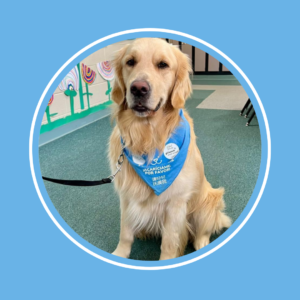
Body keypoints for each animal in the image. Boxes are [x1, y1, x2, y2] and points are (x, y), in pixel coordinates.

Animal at [109, 38, 231, 260]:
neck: (147, 138)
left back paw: (202, 243)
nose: (138, 88)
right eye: (130, 62)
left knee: (203, 230)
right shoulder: (127, 196)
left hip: (208, 201)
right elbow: (125, 232)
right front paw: (119, 254)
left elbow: (169, 242)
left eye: (163, 65)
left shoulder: (176, 203)